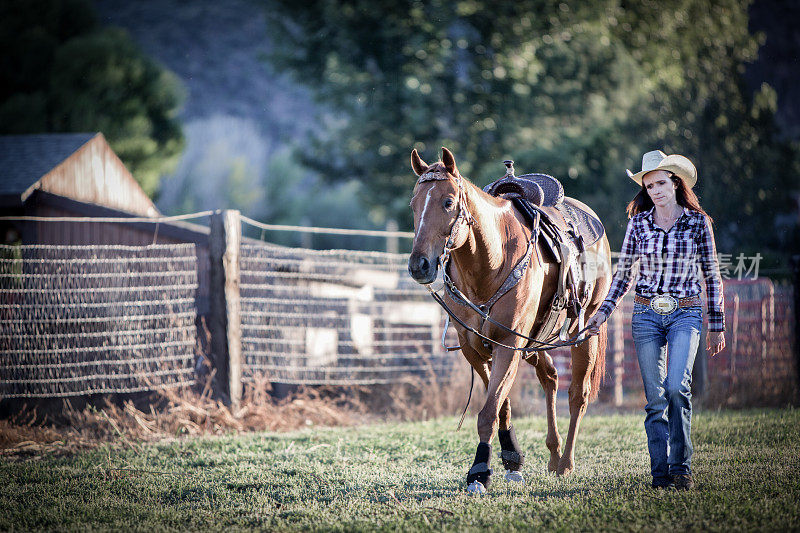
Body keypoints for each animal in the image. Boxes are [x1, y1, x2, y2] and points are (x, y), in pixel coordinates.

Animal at [410, 147, 608, 494]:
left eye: (448, 202)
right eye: (413, 204)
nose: (419, 264)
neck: (489, 262)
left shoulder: (508, 343)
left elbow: (488, 412)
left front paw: (479, 472)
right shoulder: (475, 348)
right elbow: (500, 404)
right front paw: (511, 459)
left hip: (585, 332)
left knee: (578, 395)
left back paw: (566, 463)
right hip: (535, 340)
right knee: (550, 378)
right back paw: (554, 453)